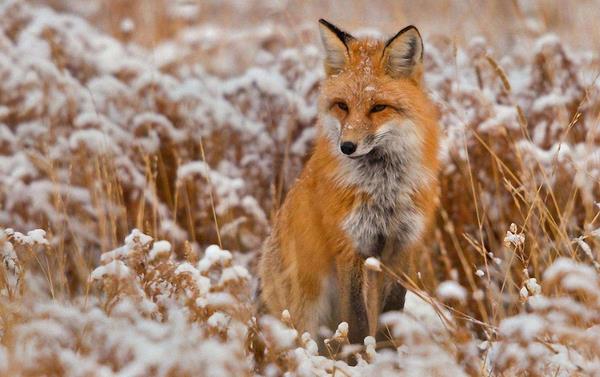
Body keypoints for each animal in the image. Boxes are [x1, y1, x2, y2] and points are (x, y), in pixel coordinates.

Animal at [258, 19, 440, 344]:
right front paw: (358, 353)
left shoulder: (401, 246)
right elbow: (355, 321)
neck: (383, 189)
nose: (347, 146)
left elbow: (391, 313)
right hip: (307, 307)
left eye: (378, 107)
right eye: (342, 106)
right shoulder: (349, 245)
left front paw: (386, 352)